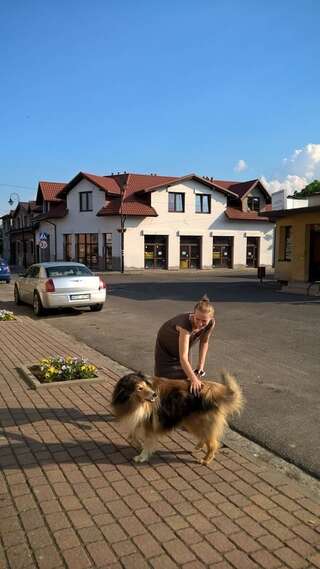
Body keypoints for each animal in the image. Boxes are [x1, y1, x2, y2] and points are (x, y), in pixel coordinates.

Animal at [111, 370, 244, 464]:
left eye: (146, 386)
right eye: (139, 388)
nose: (155, 395)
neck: (135, 403)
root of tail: (214, 391)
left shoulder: (150, 424)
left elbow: (147, 441)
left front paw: (142, 456)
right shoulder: (140, 420)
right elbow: (131, 436)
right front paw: (139, 445)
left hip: (200, 422)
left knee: (213, 444)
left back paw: (205, 460)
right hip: (193, 422)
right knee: (206, 438)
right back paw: (198, 447)